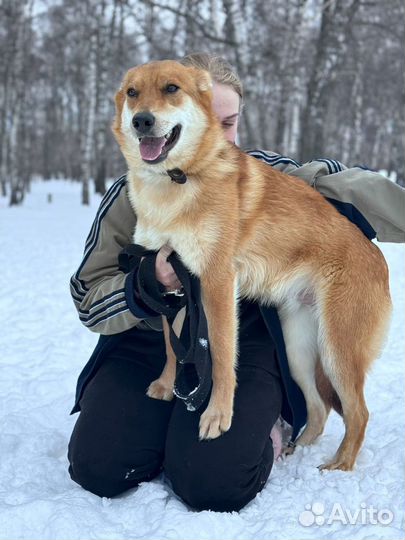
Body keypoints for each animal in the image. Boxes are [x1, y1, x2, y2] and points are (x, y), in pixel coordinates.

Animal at [112, 61, 390, 470]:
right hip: (297, 349)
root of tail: (377, 257)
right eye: (133, 93)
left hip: (337, 351)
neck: (176, 182)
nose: (142, 121)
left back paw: (338, 466)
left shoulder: (216, 283)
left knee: (358, 413)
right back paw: (295, 453)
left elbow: (223, 357)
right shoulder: (173, 282)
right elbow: (171, 346)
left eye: (171, 88)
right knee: (319, 409)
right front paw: (166, 385)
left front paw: (217, 416)